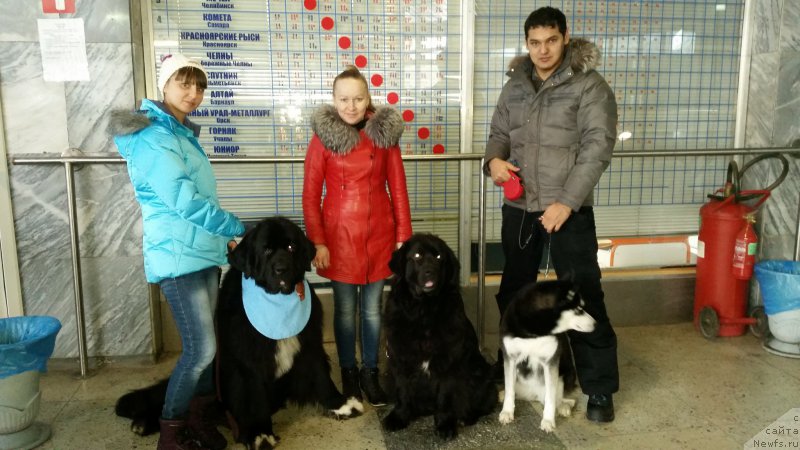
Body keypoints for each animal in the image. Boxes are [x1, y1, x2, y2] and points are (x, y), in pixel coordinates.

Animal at [114, 218, 360, 450]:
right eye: (266, 250)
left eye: (291, 247)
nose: (281, 269)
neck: (277, 303)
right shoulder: (247, 362)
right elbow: (254, 397)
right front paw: (259, 432)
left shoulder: (308, 343)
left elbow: (320, 375)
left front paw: (340, 404)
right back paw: (145, 422)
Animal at [382, 234, 500, 438]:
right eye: (417, 255)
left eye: (438, 257)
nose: (430, 272)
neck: (423, 310)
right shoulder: (400, 357)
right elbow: (403, 390)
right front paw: (400, 417)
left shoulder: (448, 361)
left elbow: (445, 395)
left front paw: (445, 424)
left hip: (480, 374)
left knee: (483, 403)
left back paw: (466, 417)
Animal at [496, 282, 596, 432]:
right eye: (578, 309)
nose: (596, 324)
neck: (533, 330)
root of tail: (533, 395)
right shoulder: (510, 358)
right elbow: (509, 390)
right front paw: (507, 412)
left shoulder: (550, 362)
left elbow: (551, 396)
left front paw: (548, 420)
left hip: (567, 376)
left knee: (565, 399)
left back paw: (564, 407)